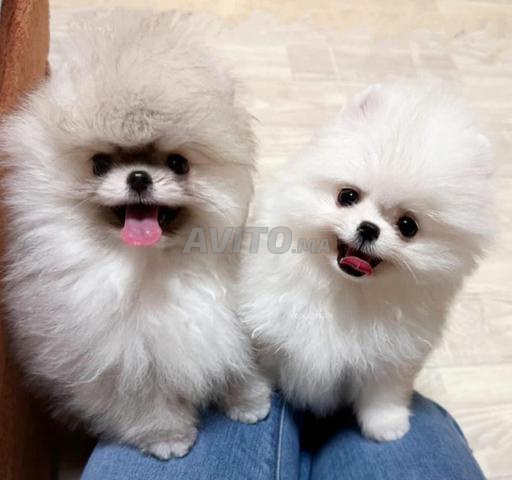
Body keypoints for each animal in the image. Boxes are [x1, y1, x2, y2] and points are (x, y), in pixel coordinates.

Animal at [1, 11, 270, 459]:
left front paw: (249, 400)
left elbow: (236, 359)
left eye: (178, 163)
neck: (154, 266)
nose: (140, 177)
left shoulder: (223, 322)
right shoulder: (119, 359)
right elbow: (143, 403)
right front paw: (168, 437)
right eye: (100, 164)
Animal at [239, 83, 492, 441]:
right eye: (347, 196)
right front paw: (255, 399)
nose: (368, 228)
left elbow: (383, 394)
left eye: (408, 226)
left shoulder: (392, 358)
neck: (345, 290)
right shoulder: (270, 336)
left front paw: (387, 427)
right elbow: (264, 366)